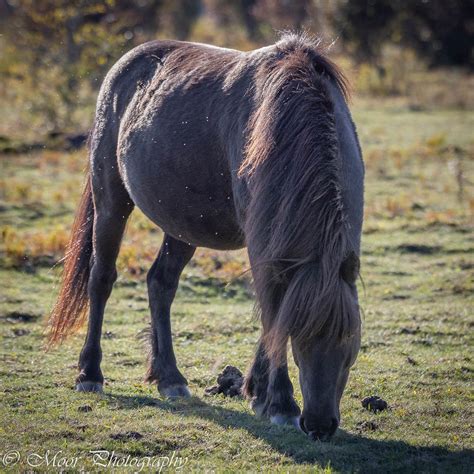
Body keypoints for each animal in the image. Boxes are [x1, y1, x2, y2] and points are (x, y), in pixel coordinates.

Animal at [49, 32, 362, 440]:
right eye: (300, 339)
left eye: (351, 341)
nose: (321, 426)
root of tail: (125, 65)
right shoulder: (264, 248)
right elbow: (274, 314)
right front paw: (279, 404)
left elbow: (272, 313)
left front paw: (256, 391)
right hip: (111, 199)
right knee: (101, 278)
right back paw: (90, 374)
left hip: (182, 226)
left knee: (160, 283)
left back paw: (170, 379)